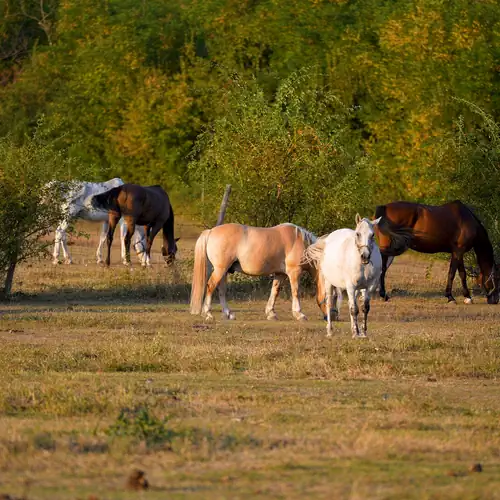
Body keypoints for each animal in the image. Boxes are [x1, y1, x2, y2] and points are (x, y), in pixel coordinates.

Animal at [189, 223, 326, 320]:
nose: (329, 317)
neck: (299, 241)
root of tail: (211, 231)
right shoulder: (294, 272)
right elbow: (296, 292)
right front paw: (299, 314)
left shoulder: (280, 274)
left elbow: (274, 292)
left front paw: (271, 313)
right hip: (220, 269)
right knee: (211, 286)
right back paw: (208, 314)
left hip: (223, 271)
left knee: (221, 290)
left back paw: (228, 314)